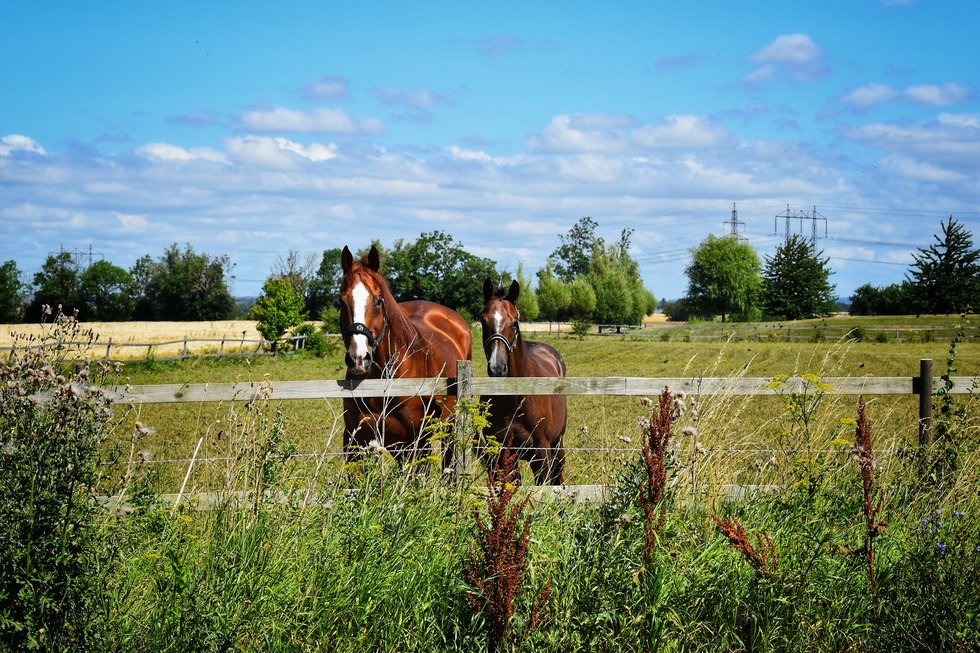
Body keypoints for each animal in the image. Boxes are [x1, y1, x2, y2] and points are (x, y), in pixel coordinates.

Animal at [338, 244, 472, 474]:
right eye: (341, 301)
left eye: (378, 300)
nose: (359, 358)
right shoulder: (355, 441)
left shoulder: (416, 443)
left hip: (449, 425)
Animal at [480, 276, 572, 484]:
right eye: (482, 320)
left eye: (514, 322)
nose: (497, 368)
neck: (514, 400)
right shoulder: (500, 456)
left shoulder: (541, 455)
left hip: (557, 444)